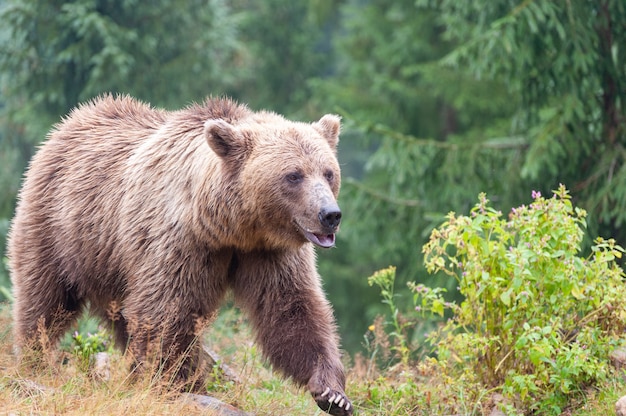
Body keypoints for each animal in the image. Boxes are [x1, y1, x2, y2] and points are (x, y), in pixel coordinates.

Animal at [7, 95, 352, 416]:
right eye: (293, 175)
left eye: (328, 172)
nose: (330, 214)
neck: (231, 226)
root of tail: (69, 122)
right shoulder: (180, 243)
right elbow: (166, 312)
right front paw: (171, 383)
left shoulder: (268, 252)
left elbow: (291, 309)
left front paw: (333, 394)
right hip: (61, 228)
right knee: (44, 301)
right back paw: (34, 361)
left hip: (112, 262)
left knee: (119, 316)